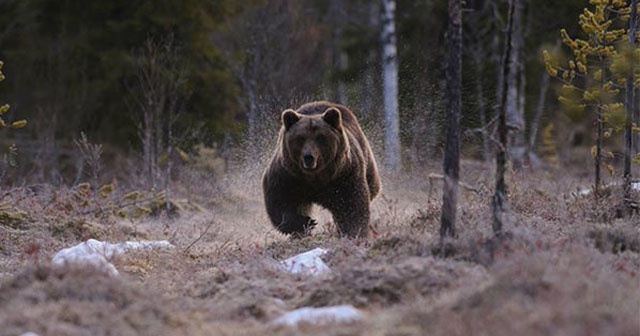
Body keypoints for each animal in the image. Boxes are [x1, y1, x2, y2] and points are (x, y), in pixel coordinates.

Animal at [264, 101, 382, 238]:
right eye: (300, 137)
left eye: (320, 137)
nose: (308, 157)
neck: (315, 177)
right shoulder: (289, 175)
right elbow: (280, 199)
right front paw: (307, 222)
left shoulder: (343, 174)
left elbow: (351, 202)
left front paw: (353, 231)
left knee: (372, 186)